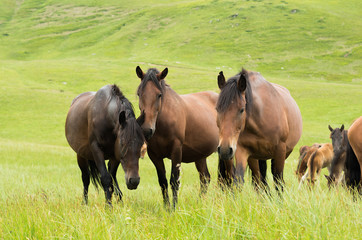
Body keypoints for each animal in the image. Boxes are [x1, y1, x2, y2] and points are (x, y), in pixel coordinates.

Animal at [135, 66, 218, 208]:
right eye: (139, 94)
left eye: (159, 95)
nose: (146, 130)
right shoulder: (155, 156)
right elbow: (162, 181)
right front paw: (166, 207)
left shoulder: (176, 150)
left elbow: (174, 181)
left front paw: (174, 208)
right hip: (200, 156)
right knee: (205, 178)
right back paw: (200, 202)